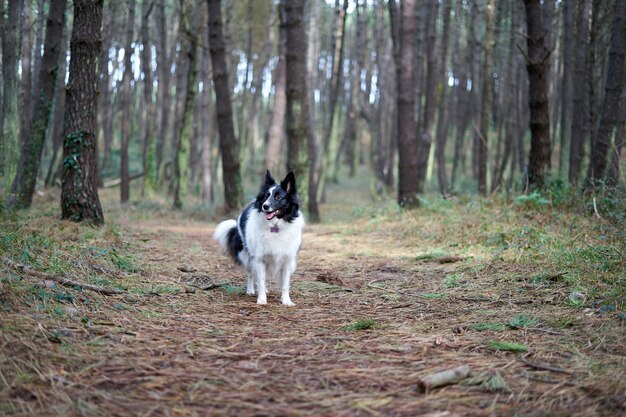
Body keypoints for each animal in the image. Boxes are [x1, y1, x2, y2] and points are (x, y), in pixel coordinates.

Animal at [213, 170, 304, 306]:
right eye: (266, 196)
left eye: (278, 197)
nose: (265, 206)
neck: (275, 227)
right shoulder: (260, 258)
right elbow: (260, 279)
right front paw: (261, 299)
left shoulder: (287, 260)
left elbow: (285, 283)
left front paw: (286, 300)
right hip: (248, 256)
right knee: (251, 274)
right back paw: (251, 290)